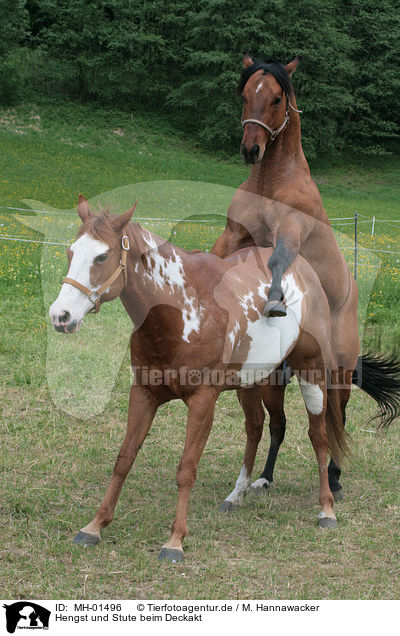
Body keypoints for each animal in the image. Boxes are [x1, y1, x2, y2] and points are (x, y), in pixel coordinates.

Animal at [49, 198, 346, 560]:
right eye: (71, 252)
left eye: (102, 257)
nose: (60, 316)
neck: (179, 312)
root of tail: (305, 272)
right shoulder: (143, 394)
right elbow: (124, 459)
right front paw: (95, 525)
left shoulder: (203, 402)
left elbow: (186, 469)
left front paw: (175, 540)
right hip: (252, 382)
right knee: (255, 428)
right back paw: (236, 495)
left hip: (312, 373)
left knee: (318, 436)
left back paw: (326, 509)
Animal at [212, 54, 400, 500]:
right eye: (244, 94)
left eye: (276, 98)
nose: (251, 149)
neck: (271, 181)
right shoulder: (234, 233)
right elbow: (214, 253)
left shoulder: (290, 233)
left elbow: (279, 260)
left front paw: (275, 302)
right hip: (275, 380)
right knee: (279, 425)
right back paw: (264, 478)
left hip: (338, 374)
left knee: (336, 421)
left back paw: (335, 479)